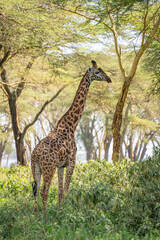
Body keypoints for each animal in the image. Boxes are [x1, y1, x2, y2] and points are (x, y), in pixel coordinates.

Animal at [31, 61, 111, 211]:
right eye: (97, 72)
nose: (109, 79)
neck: (71, 126)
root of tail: (35, 154)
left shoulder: (61, 166)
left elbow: (60, 192)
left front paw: (60, 209)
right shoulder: (72, 162)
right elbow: (67, 190)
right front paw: (66, 212)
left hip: (36, 168)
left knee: (35, 191)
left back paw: (34, 215)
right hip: (48, 168)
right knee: (44, 191)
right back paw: (44, 215)